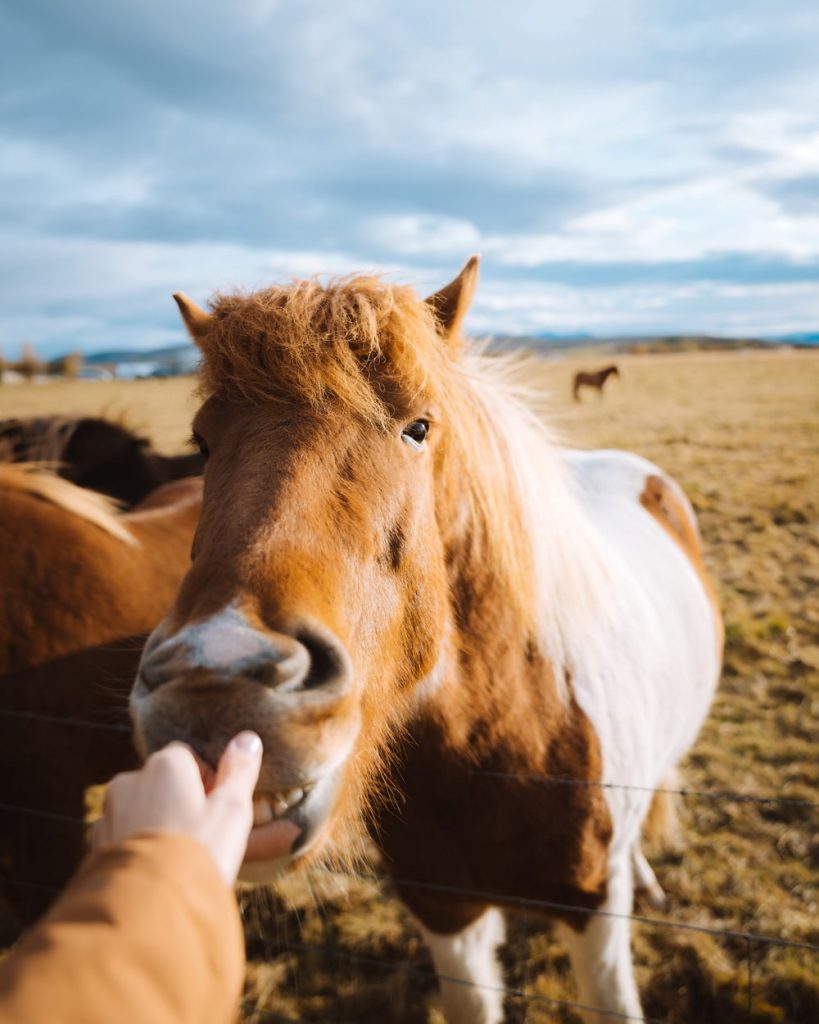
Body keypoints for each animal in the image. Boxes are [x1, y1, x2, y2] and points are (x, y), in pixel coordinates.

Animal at [129, 260, 724, 1019]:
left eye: (419, 427)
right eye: (202, 443)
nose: (215, 686)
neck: (499, 747)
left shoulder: (593, 912)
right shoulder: (444, 910)